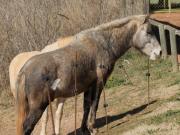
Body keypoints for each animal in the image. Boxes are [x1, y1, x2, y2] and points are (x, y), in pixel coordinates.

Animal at [15, 14, 162, 135]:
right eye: (148, 32)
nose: (159, 52)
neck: (102, 44)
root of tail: (24, 69)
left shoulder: (88, 86)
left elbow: (86, 106)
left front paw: (84, 129)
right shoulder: (100, 82)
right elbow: (95, 103)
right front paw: (92, 128)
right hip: (38, 107)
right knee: (27, 126)